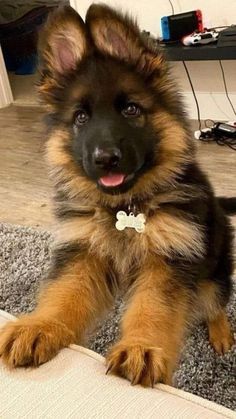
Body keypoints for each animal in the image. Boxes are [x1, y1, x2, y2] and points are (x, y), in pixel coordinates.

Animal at [0, 5, 235, 388]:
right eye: (81, 117)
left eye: (131, 110)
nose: (105, 158)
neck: (124, 208)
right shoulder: (82, 253)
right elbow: (63, 294)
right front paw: (41, 326)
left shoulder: (167, 259)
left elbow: (154, 308)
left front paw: (141, 347)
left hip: (213, 270)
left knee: (215, 301)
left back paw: (221, 333)